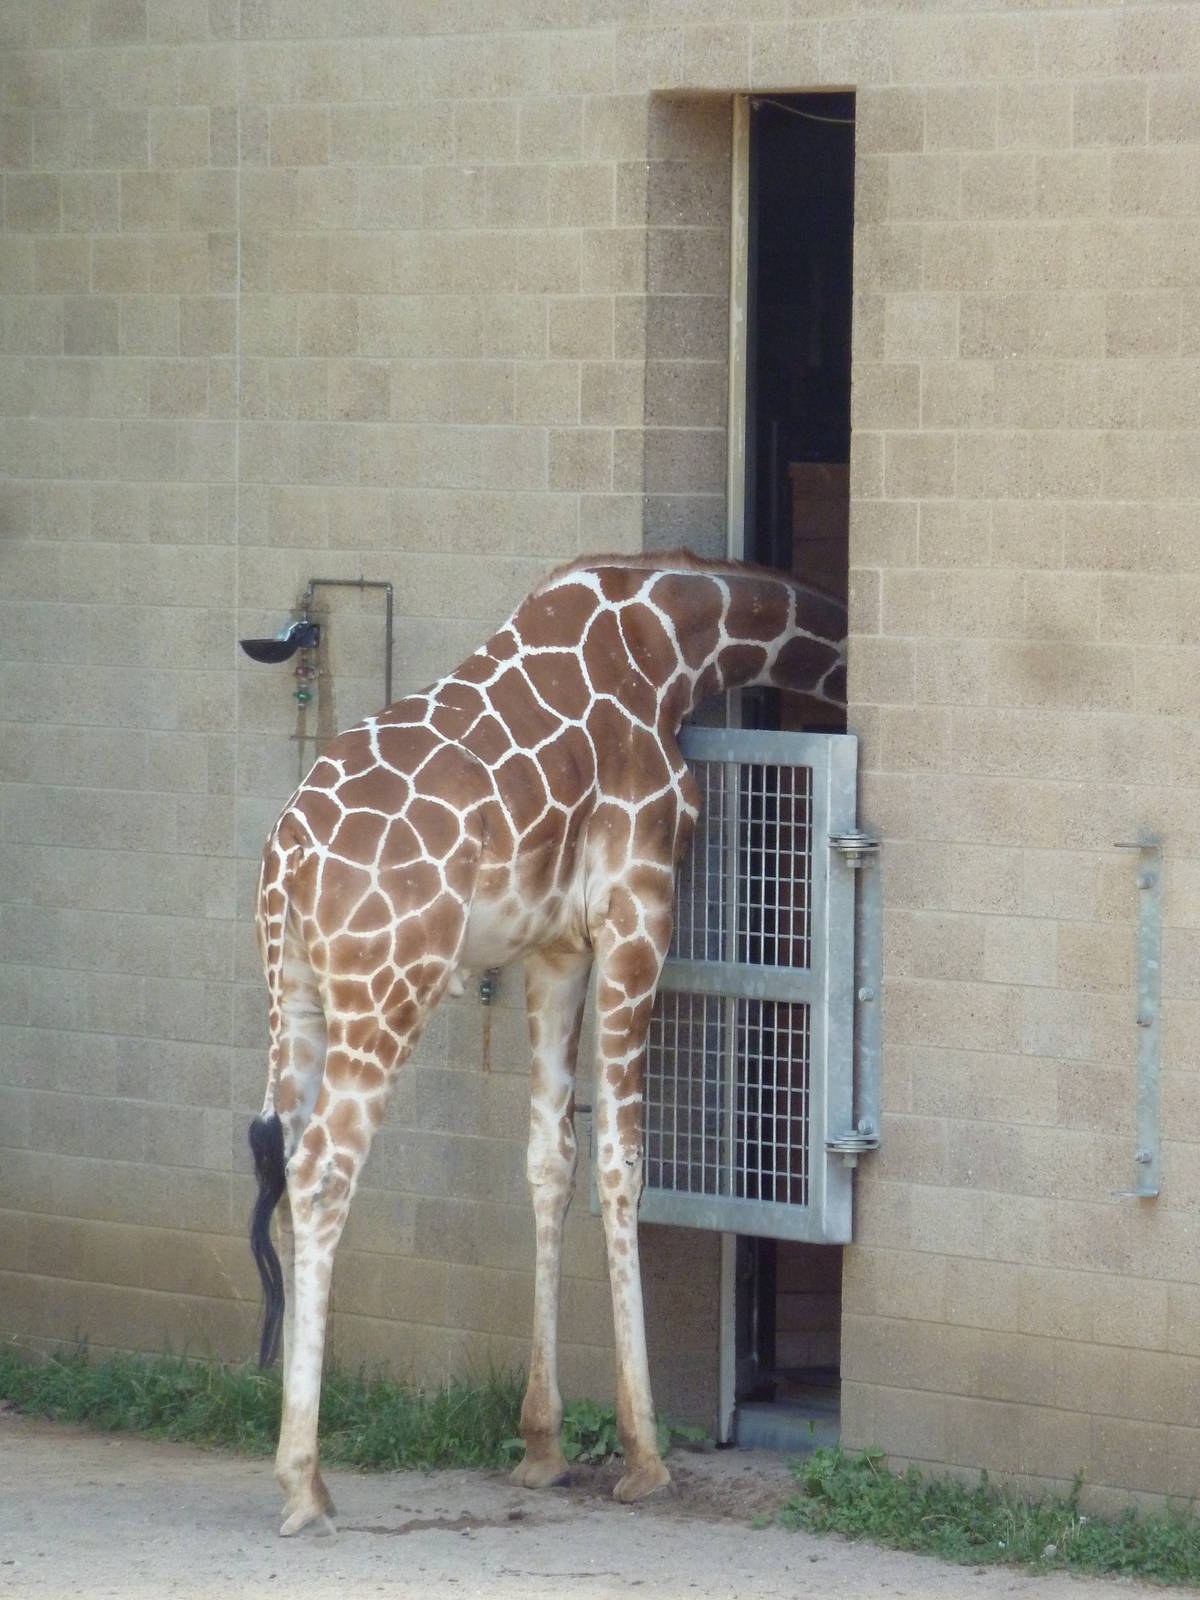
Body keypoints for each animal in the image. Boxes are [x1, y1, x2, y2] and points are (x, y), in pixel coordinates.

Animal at [248, 551, 846, 1536]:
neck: (675, 641)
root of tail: (288, 859)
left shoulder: (555, 945)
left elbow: (548, 1158)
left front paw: (542, 1445)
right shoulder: (638, 909)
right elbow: (620, 1160)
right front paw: (645, 1456)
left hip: (291, 991)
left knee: (286, 1163)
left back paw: (307, 1468)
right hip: (386, 991)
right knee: (324, 1170)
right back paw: (302, 1483)